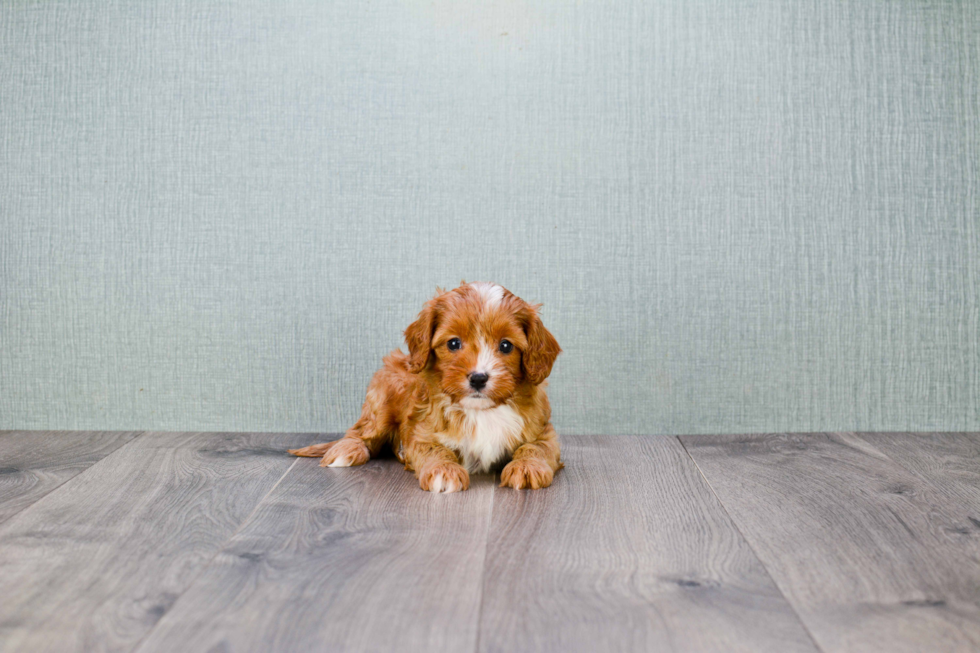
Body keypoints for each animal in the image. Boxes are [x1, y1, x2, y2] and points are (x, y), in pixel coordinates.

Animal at [288, 282, 564, 492]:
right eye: (453, 343)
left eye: (506, 346)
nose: (478, 378)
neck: (479, 411)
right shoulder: (421, 433)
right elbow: (436, 449)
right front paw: (444, 471)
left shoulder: (543, 430)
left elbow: (536, 447)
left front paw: (527, 467)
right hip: (382, 400)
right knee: (360, 431)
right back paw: (347, 451)